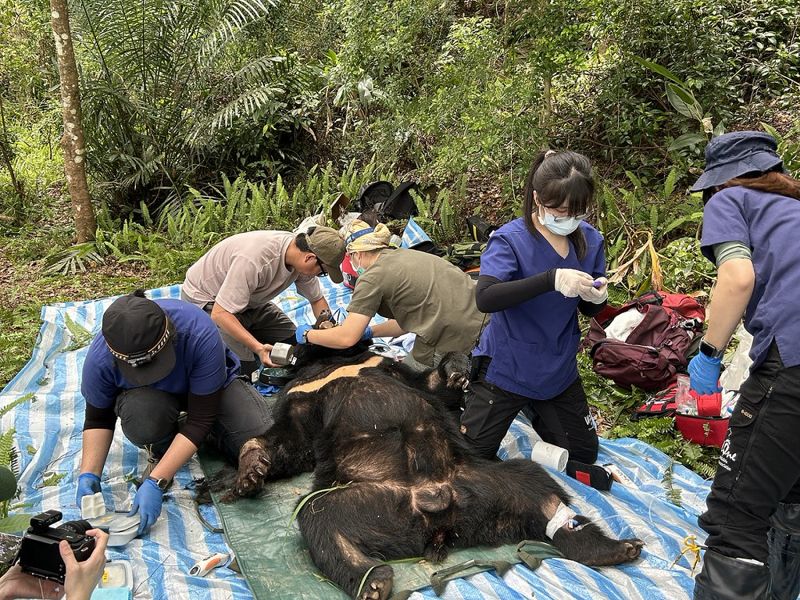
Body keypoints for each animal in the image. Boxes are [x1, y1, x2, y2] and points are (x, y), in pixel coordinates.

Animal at [231, 351, 643, 600]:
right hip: (372, 500)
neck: (334, 364)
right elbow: (290, 442)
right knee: (320, 516)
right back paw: (373, 582)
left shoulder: (384, 365)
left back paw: (615, 547)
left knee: (536, 486)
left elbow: (429, 383)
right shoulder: (303, 399)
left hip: (485, 480)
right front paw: (250, 474)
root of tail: (437, 508)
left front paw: (459, 371)